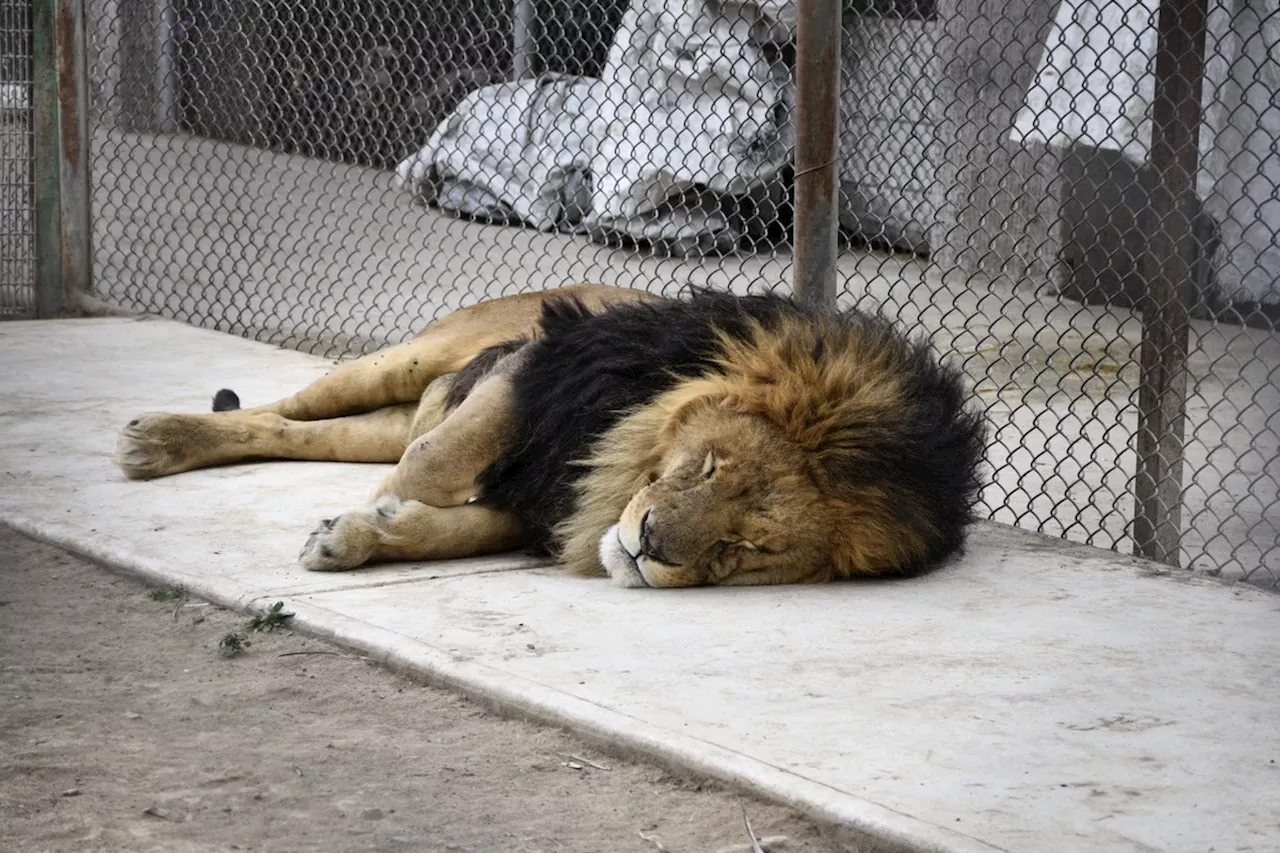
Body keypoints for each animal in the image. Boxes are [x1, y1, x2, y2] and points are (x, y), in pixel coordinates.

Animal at [112, 284, 988, 584]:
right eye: (709, 466)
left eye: (748, 547)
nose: (648, 545)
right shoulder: (541, 361)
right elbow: (435, 464)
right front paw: (367, 511)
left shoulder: (539, 507)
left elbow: (444, 525)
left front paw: (358, 533)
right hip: (411, 358)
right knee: (284, 407)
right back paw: (153, 440)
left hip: (381, 414)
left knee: (298, 430)